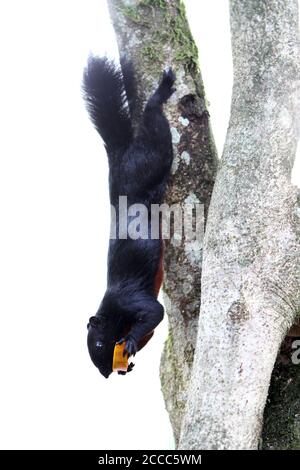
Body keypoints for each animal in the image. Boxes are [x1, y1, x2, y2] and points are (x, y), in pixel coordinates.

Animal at [82, 56, 176, 378]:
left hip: (150, 159)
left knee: (154, 120)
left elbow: (154, 313)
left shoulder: (130, 301)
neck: (112, 314)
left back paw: (163, 90)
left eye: (98, 344)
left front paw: (132, 340)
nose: (104, 373)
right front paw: (130, 362)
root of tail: (118, 154)